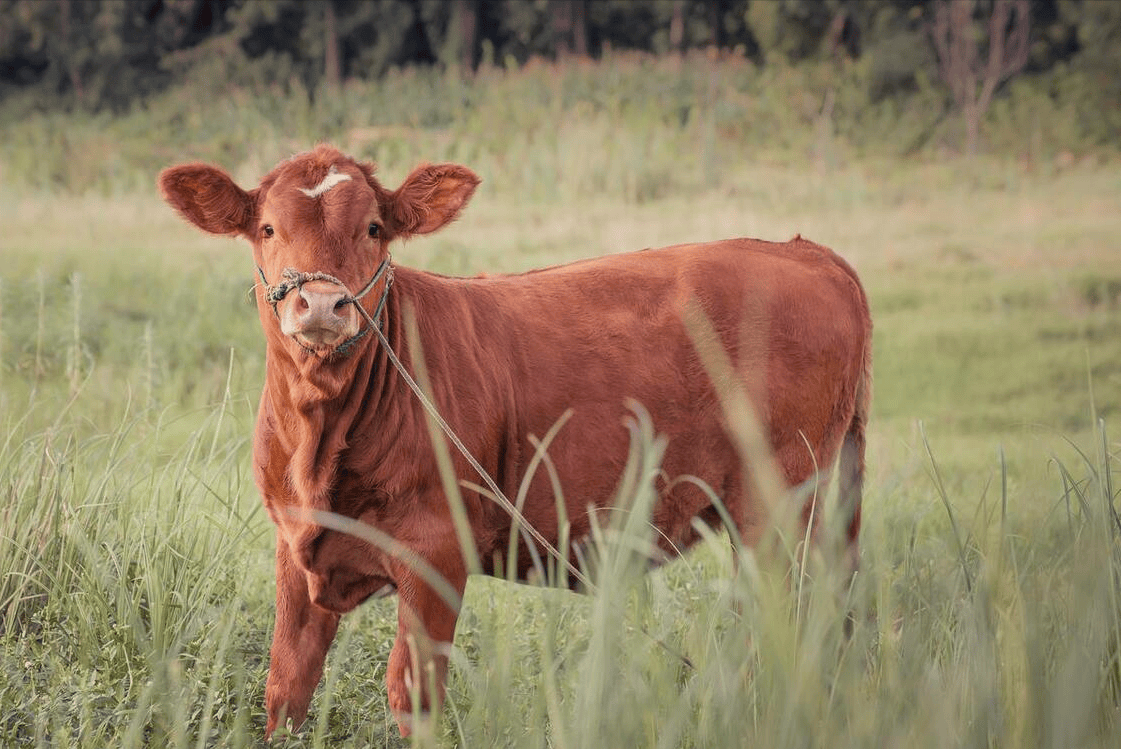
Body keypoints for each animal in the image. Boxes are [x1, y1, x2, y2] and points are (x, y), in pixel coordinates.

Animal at [160, 144, 874, 735]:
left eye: (373, 229)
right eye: (267, 229)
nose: (321, 306)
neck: (320, 441)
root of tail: (803, 250)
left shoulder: (435, 552)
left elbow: (413, 695)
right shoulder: (293, 545)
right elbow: (286, 687)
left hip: (777, 505)